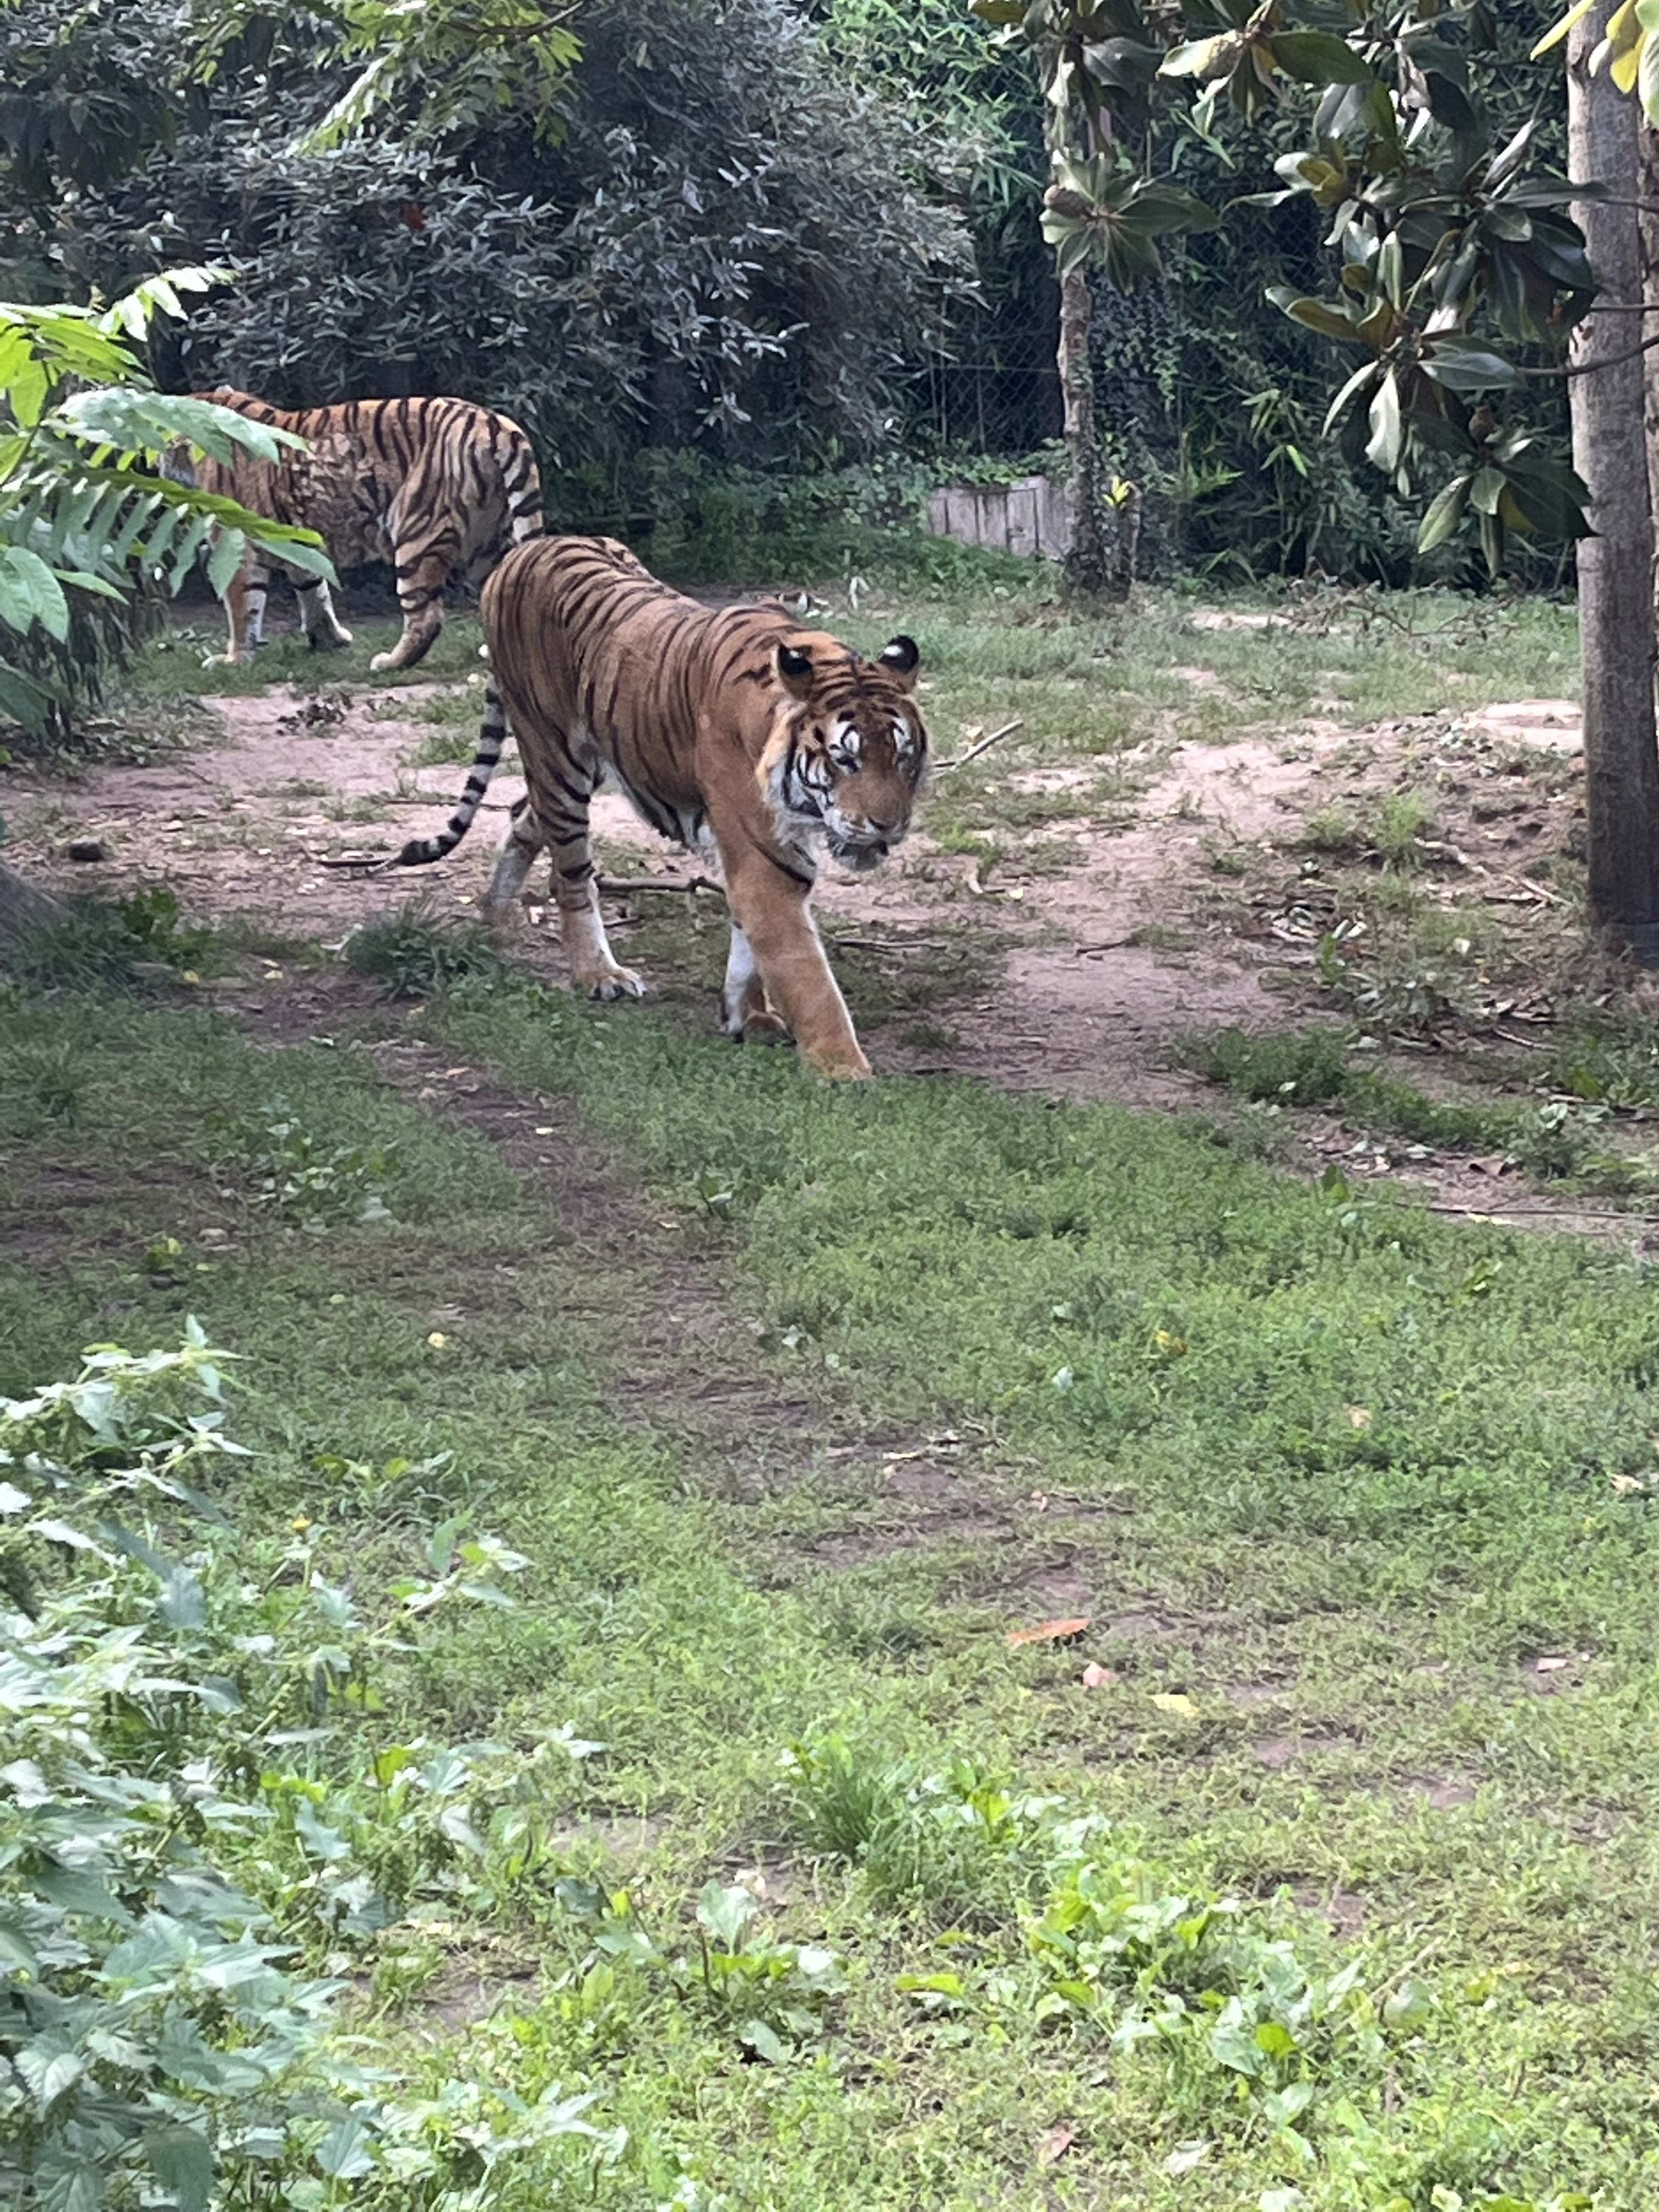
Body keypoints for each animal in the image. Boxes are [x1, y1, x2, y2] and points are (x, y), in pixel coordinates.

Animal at [171, 389, 545, 671]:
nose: (158, 466)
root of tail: (493, 423)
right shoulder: (298, 545)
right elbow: (315, 592)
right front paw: (331, 640)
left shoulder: (235, 546)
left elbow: (242, 609)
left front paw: (232, 660)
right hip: (489, 541)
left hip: (415, 533)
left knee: (427, 617)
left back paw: (390, 663)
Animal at [389, 535, 928, 1081]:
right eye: (845, 760)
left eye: (902, 757)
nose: (889, 826)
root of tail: (527, 549)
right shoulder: (765, 857)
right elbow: (808, 978)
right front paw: (844, 1070)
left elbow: (748, 941)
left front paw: (747, 1015)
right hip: (557, 757)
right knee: (570, 873)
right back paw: (598, 973)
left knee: (523, 814)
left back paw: (496, 917)